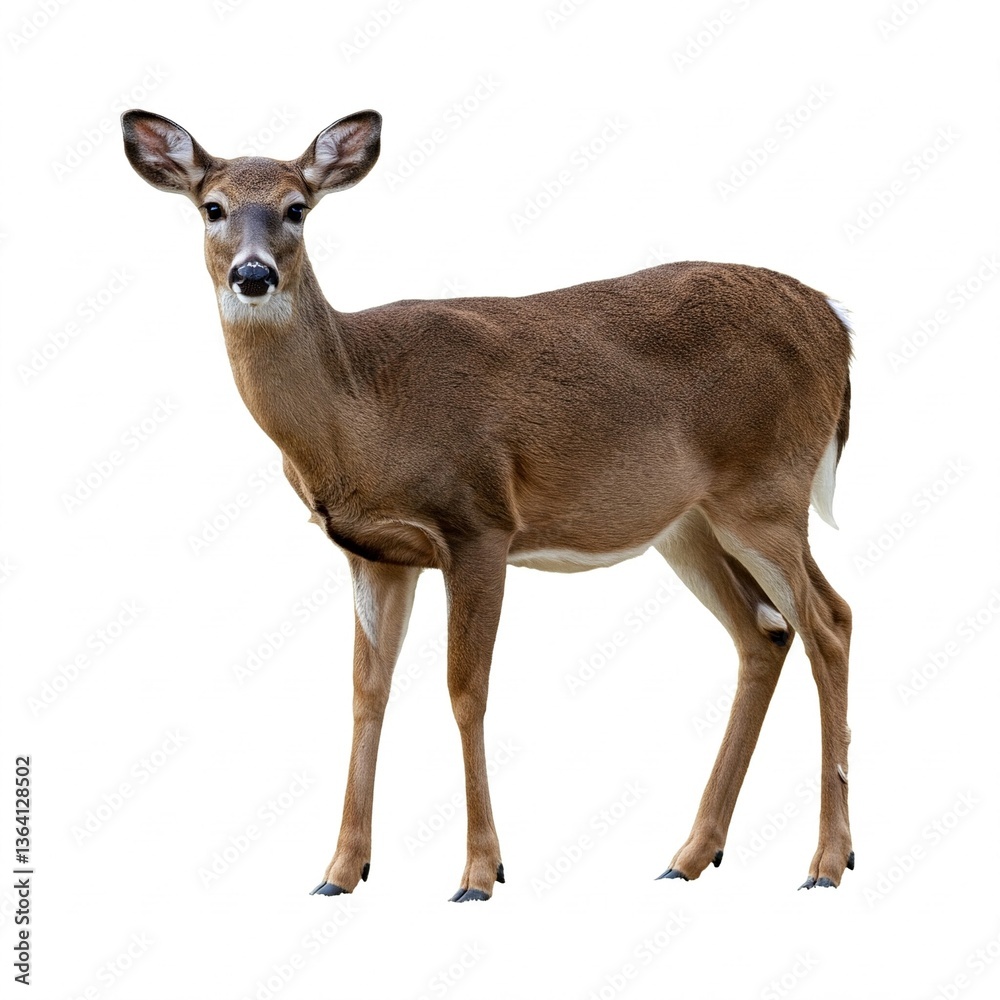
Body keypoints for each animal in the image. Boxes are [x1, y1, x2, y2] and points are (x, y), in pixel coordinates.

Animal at [121, 108, 854, 901]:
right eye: (212, 207)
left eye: (296, 208)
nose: (253, 274)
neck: (362, 410)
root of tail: (834, 321)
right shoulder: (376, 554)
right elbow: (367, 693)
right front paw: (342, 871)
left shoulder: (478, 523)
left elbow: (465, 689)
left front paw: (479, 871)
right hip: (689, 521)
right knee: (765, 633)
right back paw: (690, 855)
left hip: (767, 489)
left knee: (829, 621)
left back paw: (827, 861)